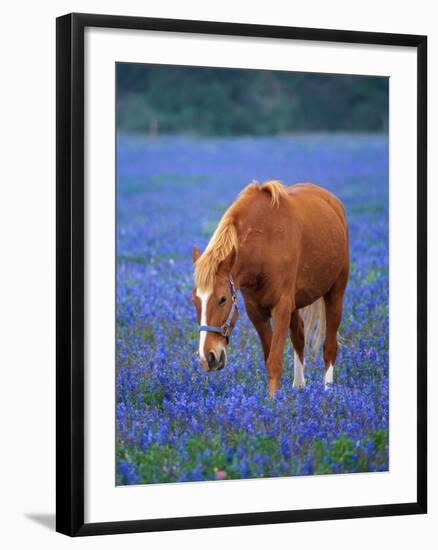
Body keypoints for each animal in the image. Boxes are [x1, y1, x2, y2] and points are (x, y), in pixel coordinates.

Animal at [192, 181, 350, 396]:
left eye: (222, 299)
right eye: (195, 300)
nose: (207, 358)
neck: (264, 246)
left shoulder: (281, 307)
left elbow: (274, 362)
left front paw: (272, 402)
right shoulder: (256, 311)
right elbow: (269, 357)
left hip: (335, 292)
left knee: (330, 347)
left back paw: (328, 392)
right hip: (296, 303)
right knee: (299, 335)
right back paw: (299, 387)